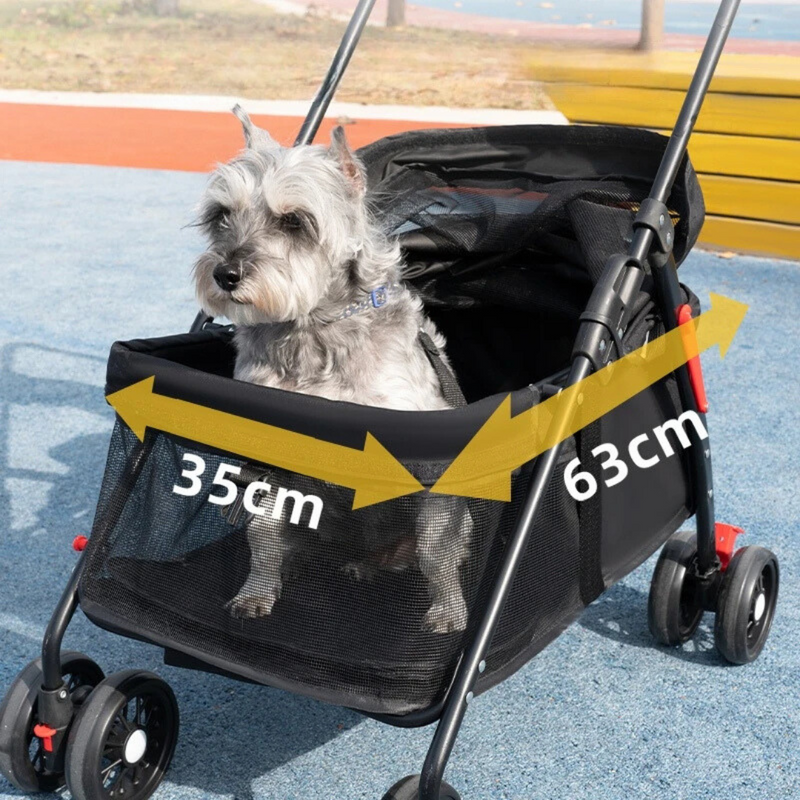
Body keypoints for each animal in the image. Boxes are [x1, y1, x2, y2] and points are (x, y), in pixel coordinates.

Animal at [191, 104, 472, 632]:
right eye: (221, 215)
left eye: (294, 221)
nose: (225, 274)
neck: (313, 330)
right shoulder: (268, 461)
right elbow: (263, 537)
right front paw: (255, 594)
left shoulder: (427, 467)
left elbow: (436, 550)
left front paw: (448, 610)